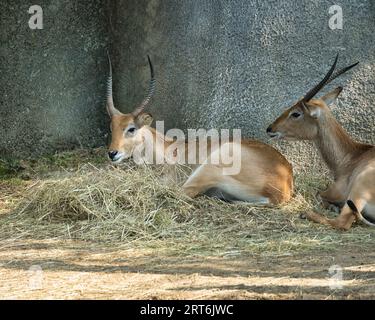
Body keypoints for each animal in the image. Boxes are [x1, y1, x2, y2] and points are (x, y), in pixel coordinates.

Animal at [104, 53, 296, 205]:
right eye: (112, 127)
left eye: (131, 129)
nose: (112, 153)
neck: (166, 149)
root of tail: (283, 187)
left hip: (207, 168)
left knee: (180, 192)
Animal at [268, 55, 375, 230]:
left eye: (296, 113)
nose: (270, 128)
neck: (352, 156)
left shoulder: (337, 191)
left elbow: (317, 193)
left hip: (356, 194)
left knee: (342, 222)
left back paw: (306, 213)